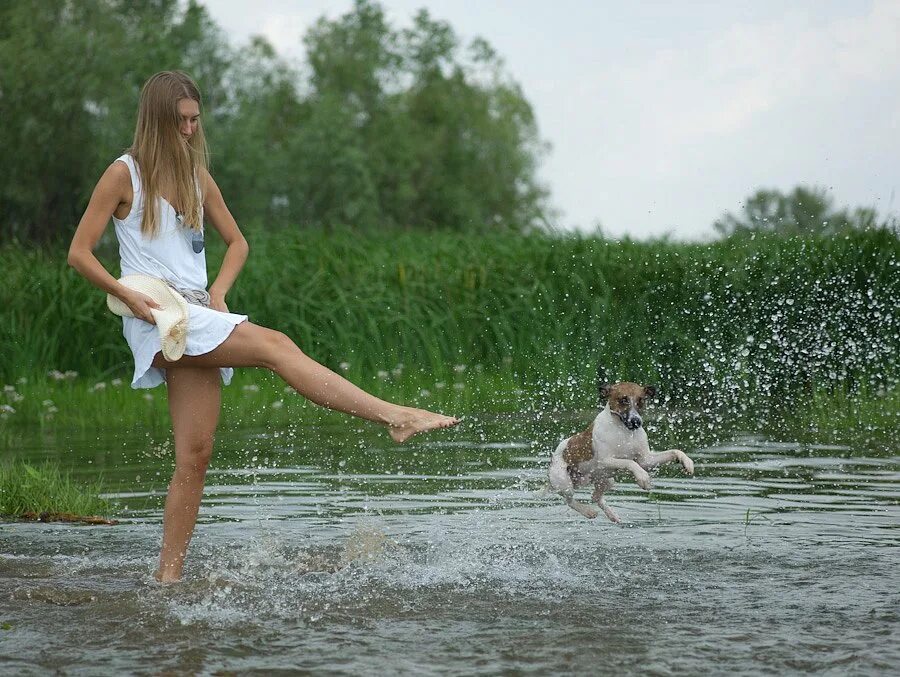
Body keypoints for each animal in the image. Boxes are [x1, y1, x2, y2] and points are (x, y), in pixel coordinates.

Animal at [548, 380, 696, 524]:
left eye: (641, 400)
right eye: (623, 399)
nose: (636, 422)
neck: (624, 432)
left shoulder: (646, 460)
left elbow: (674, 451)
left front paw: (687, 462)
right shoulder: (605, 461)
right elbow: (629, 462)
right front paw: (643, 478)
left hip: (606, 480)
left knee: (595, 497)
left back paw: (612, 515)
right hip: (564, 482)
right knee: (569, 500)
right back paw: (588, 511)